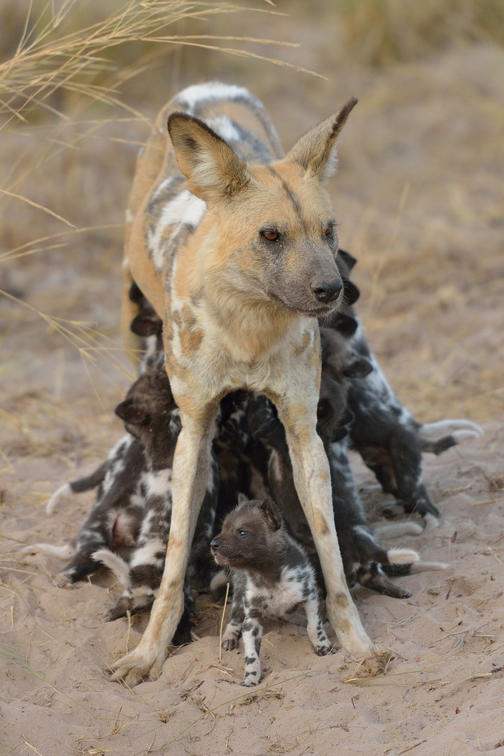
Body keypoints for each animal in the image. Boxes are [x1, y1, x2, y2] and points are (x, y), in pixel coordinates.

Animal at [211, 497, 333, 686]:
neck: (267, 574)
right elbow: (251, 656)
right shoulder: (251, 621)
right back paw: (229, 638)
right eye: (223, 529)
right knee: (234, 619)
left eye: (242, 532)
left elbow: (314, 626)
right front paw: (250, 678)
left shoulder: (310, 598)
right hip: (239, 597)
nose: (213, 545)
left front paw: (322, 646)